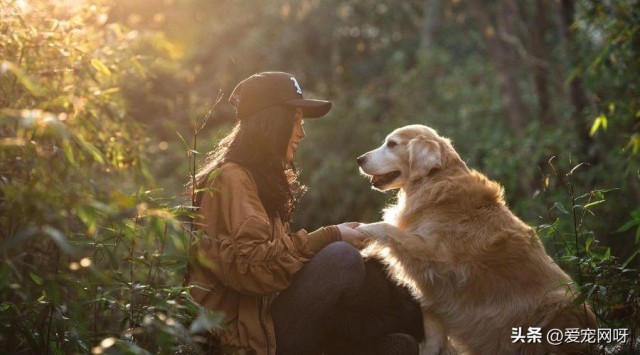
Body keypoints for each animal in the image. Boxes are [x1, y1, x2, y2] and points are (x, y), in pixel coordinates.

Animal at [358, 124, 596, 354]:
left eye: (391, 144)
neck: (434, 182)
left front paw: (361, 232)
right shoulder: (431, 286)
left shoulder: (434, 255)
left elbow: (385, 228)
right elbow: (434, 339)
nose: (359, 159)